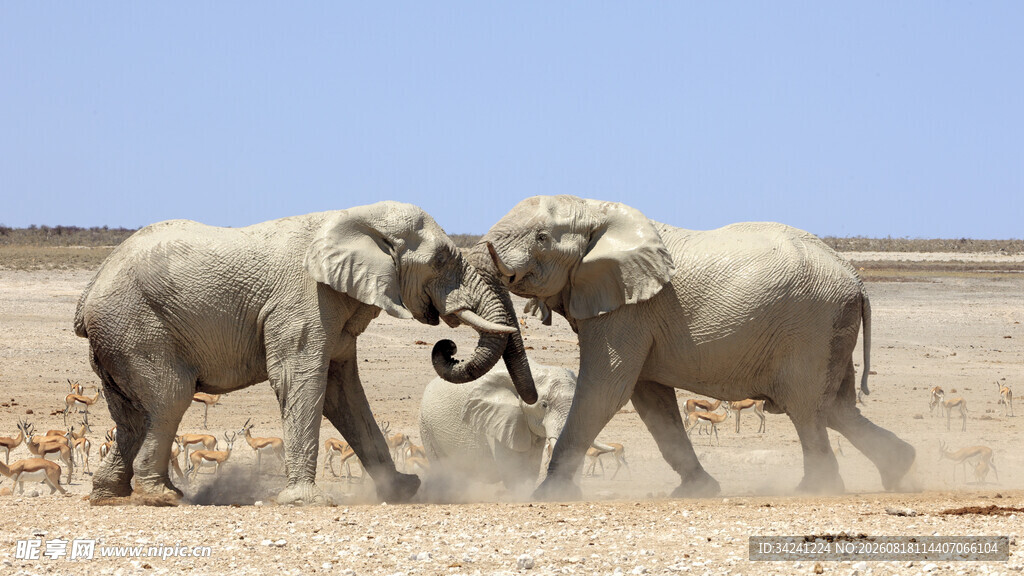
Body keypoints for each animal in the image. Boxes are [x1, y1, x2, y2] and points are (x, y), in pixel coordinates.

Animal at [74, 201, 536, 505]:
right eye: (440, 259)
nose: (447, 348)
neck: (356, 214)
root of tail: (88, 293)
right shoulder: (304, 302)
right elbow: (299, 379)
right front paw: (306, 502)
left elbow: (342, 392)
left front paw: (402, 490)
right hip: (138, 327)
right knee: (170, 399)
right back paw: (163, 497)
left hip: (118, 339)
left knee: (131, 416)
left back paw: (110, 496)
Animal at [475, 195, 916, 500]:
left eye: (541, 238)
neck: (594, 208)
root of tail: (857, 279)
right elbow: (650, 399)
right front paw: (697, 490)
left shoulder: (628, 309)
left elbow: (606, 389)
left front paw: (546, 496)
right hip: (833, 328)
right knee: (837, 408)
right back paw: (900, 467)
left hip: (813, 326)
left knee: (807, 408)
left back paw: (816, 490)